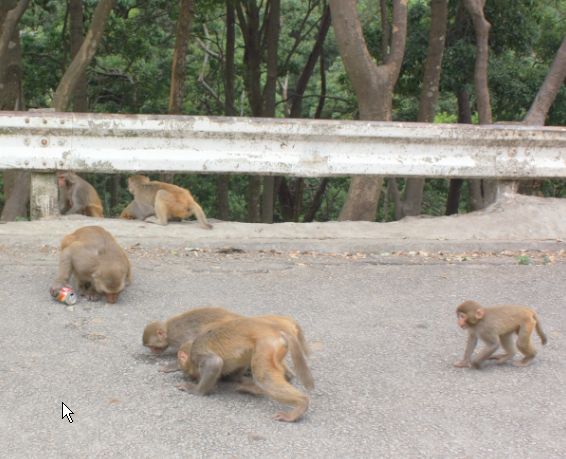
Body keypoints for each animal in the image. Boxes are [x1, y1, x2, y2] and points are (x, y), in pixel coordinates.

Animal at [178, 318, 316, 422]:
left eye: (188, 373)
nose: (191, 377)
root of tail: (275, 329)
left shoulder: (197, 354)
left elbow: (215, 363)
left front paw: (195, 390)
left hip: (266, 345)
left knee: (264, 378)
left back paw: (301, 403)